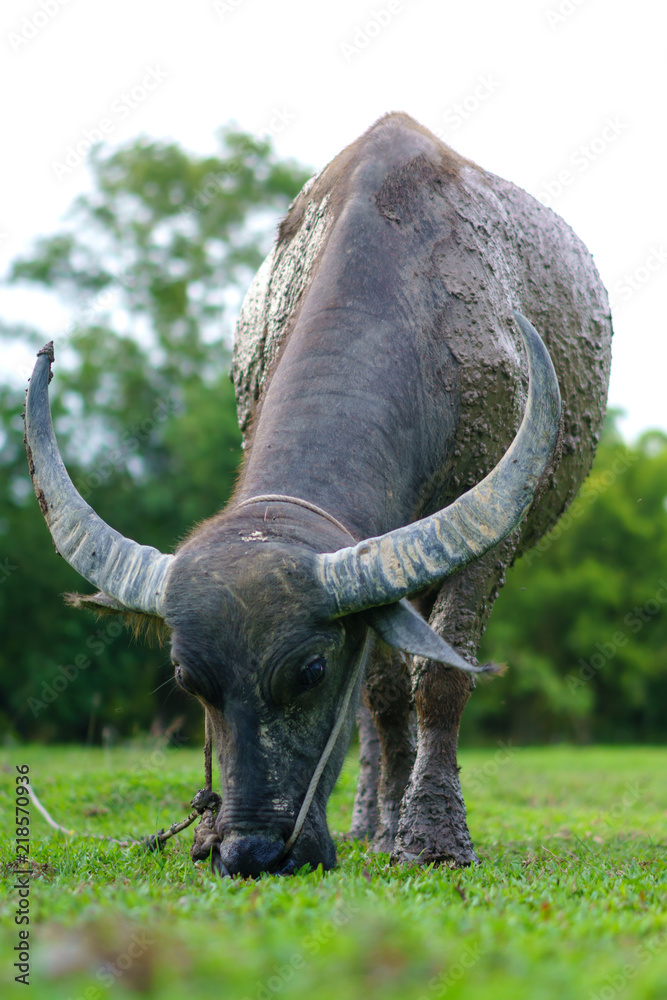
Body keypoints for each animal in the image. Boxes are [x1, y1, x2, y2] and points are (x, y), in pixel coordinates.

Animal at [25, 112, 611, 875]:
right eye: (187, 681)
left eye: (308, 671)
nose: (248, 849)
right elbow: (381, 695)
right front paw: (390, 828)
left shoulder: (488, 542)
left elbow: (440, 681)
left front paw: (432, 838)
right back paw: (369, 823)